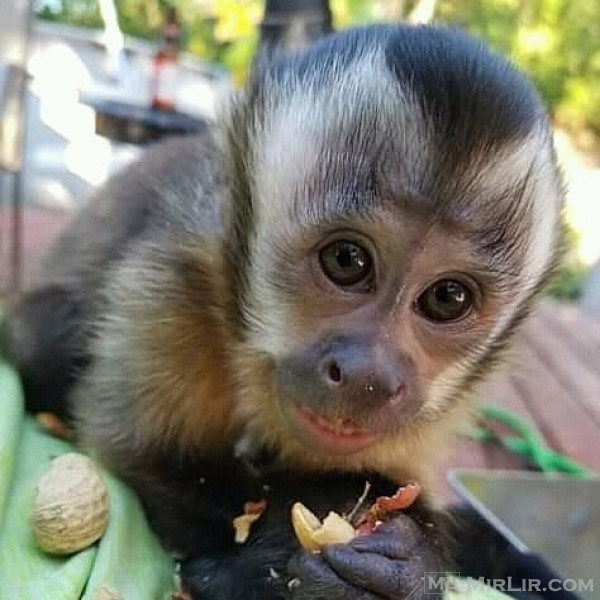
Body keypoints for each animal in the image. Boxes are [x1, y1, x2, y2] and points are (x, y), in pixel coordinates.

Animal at [3, 24, 564, 600]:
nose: (368, 377)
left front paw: (414, 558)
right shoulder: (170, 285)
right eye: (346, 260)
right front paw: (262, 557)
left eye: (447, 297)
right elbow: (134, 452)